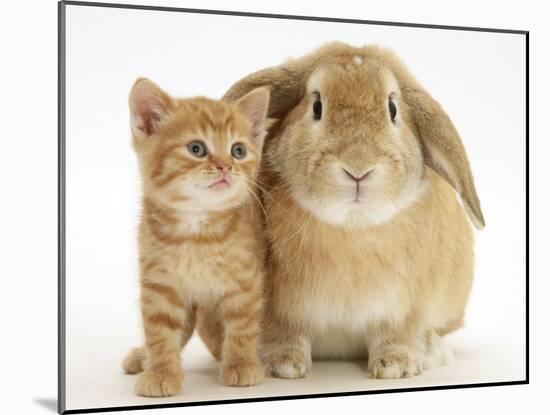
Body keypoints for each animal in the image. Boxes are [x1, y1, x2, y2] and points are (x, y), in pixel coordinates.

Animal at [124, 78, 272, 396]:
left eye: (238, 151)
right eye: (196, 148)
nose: (226, 166)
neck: (197, 231)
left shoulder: (246, 280)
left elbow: (242, 324)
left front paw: (241, 364)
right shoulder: (159, 283)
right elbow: (159, 330)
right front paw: (160, 370)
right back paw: (143, 356)